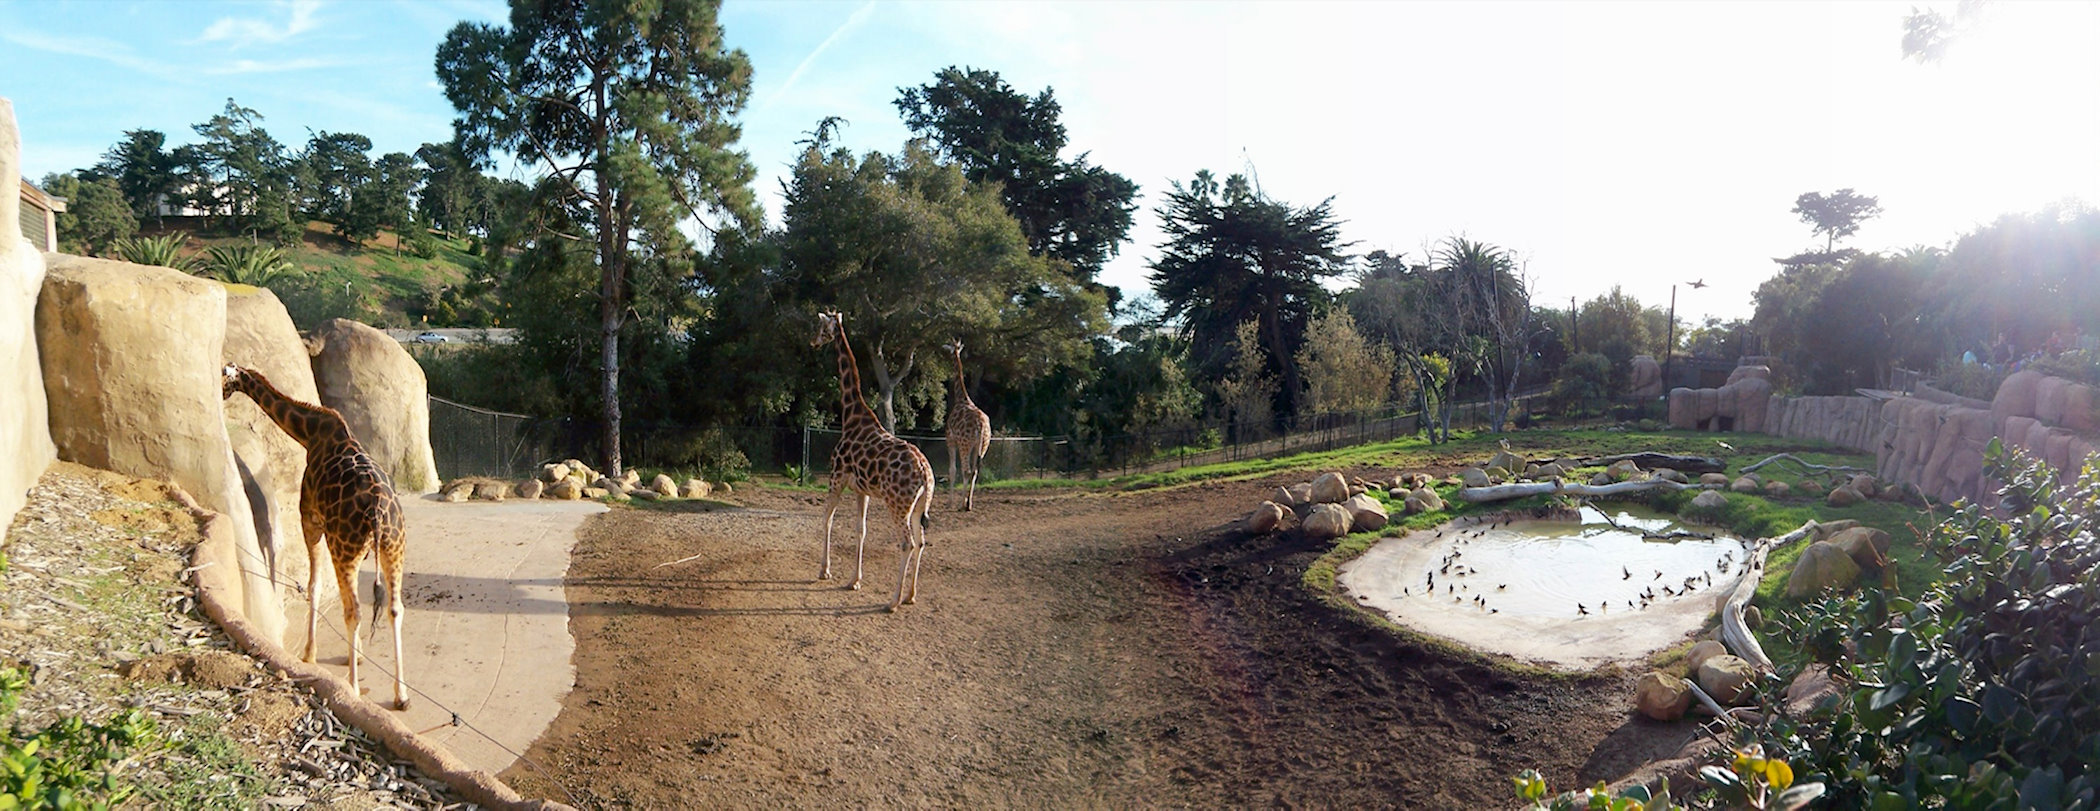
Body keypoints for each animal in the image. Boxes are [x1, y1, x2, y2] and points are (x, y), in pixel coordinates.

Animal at [225, 363, 413, 705]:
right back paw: (401, 694)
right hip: (393, 549)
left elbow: (312, 585)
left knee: (353, 610)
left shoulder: (310, 520)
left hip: (344, 548)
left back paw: (352, 689)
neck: (311, 434)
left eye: (224, 377)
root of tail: (378, 512)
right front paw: (358, 654)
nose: (220, 393)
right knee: (394, 608)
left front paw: (309, 654)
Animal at [806, 310, 932, 609]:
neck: (850, 415)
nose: (812, 341)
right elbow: (860, 529)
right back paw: (910, 595)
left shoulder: (836, 478)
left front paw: (824, 571)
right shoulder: (861, 490)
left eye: (820, 326)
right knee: (921, 541)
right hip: (920, 505)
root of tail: (925, 474)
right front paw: (854, 580)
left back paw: (893, 601)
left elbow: (827, 518)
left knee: (907, 543)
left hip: (898, 504)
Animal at [944, 338, 991, 510]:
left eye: (949, 346)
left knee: (966, 470)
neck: (961, 398)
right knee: (975, 471)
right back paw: (968, 504)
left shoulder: (951, 440)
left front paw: (950, 502)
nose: (945, 348)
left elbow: (952, 470)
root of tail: (981, 425)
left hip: (965, 444)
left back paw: (960, 504)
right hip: (982, 445)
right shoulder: (972, 445)